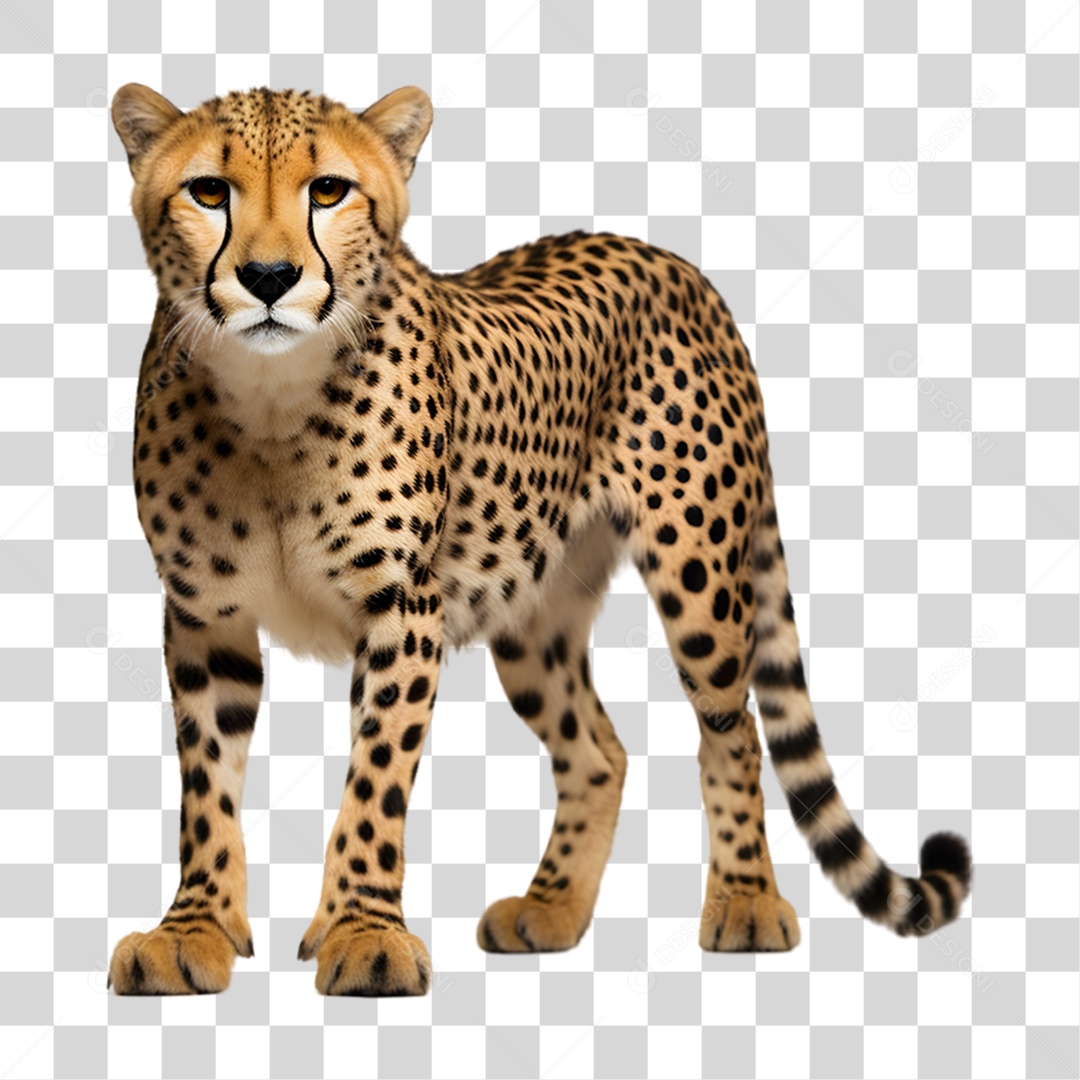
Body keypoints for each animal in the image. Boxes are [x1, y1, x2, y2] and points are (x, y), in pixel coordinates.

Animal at [106, 82, 971, 996]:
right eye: (208, 191)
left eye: (330, 190)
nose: (269, 278)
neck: (271, 401)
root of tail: (666, 258)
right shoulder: (205, 619)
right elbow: (207, 789)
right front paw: (193, 929)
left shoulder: (402, 613)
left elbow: (375, 781)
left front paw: (363, 933)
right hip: (531, 613)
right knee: (600, 751)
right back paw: (552, 909)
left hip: (699, 581)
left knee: (730, 731)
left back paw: (743, 901)